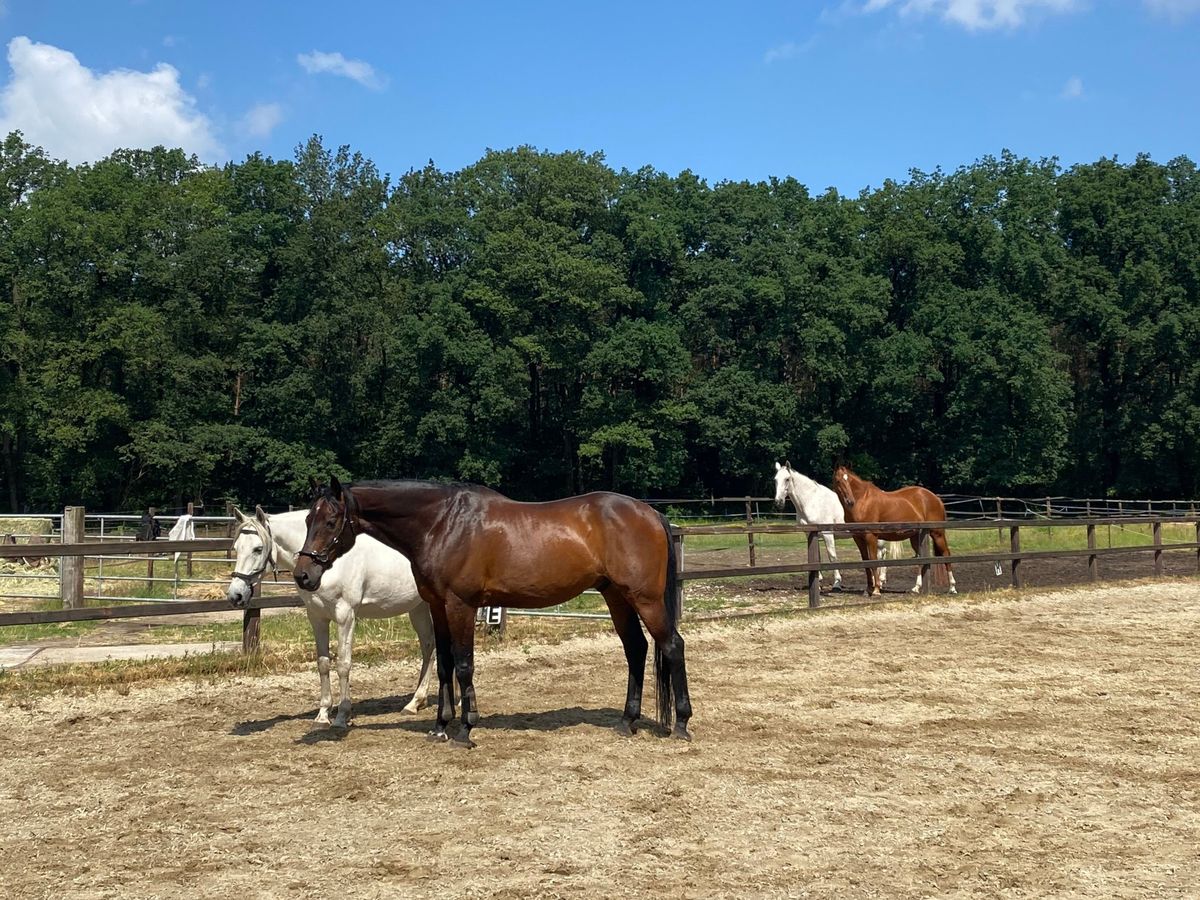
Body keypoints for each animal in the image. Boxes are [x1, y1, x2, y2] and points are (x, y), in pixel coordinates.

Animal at [225, 504, 436, 729]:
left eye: (258, 549)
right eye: (236, 548)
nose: (235, 595)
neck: (326, 562)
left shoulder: (346, 616)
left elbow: (343, 664)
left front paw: (343, 715)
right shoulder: (317, 617)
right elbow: (323, 663)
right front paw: (323, 715)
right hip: (418, 608)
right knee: (429, 647)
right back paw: (415, 702)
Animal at [292, 480, 696, 748]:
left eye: (330, 521)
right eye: (308, 519)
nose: (303, 575)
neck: (442, 524)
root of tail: (650, 512)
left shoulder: (460, 605)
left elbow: (464, 665)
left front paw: (465, 730)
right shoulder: (437, 607)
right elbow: (444, 665)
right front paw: (440, 726)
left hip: (644, 598)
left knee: (672, 646)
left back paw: (680, 724)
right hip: (616, 597)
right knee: (636, 649)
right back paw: (627, 721)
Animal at [830, 465, 960, 600]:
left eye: (849, 480)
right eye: (838, 480)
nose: (850, 501)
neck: (862, 501)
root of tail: (936, 498)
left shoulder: (871, 536)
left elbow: (873, 561)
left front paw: (876, 590)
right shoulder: (858, 538)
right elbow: (866, 562)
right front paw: (868, 589)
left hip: (937, 533)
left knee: (946, 554)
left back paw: (952, 588)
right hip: (916, 537)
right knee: (920, 557)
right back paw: (916, 588)